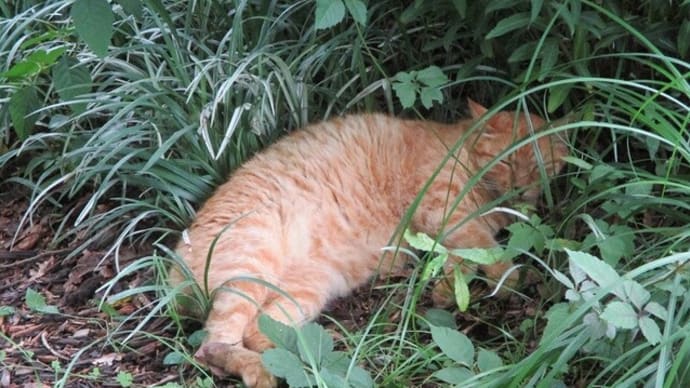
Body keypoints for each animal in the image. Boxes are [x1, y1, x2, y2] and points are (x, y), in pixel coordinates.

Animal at [167, 101, 564, 388]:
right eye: (507, 162)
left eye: (537, 167)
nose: (520, 189)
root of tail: (172, 267)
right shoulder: (443, 206)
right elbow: (484, 248)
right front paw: (509, 278)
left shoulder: (447, 231)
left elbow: (460, 261)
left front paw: (446, 293)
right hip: (250, 267)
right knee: (214, 346)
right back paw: (264, 372)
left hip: (307, 289)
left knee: (258, 333)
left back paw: (308, 349)